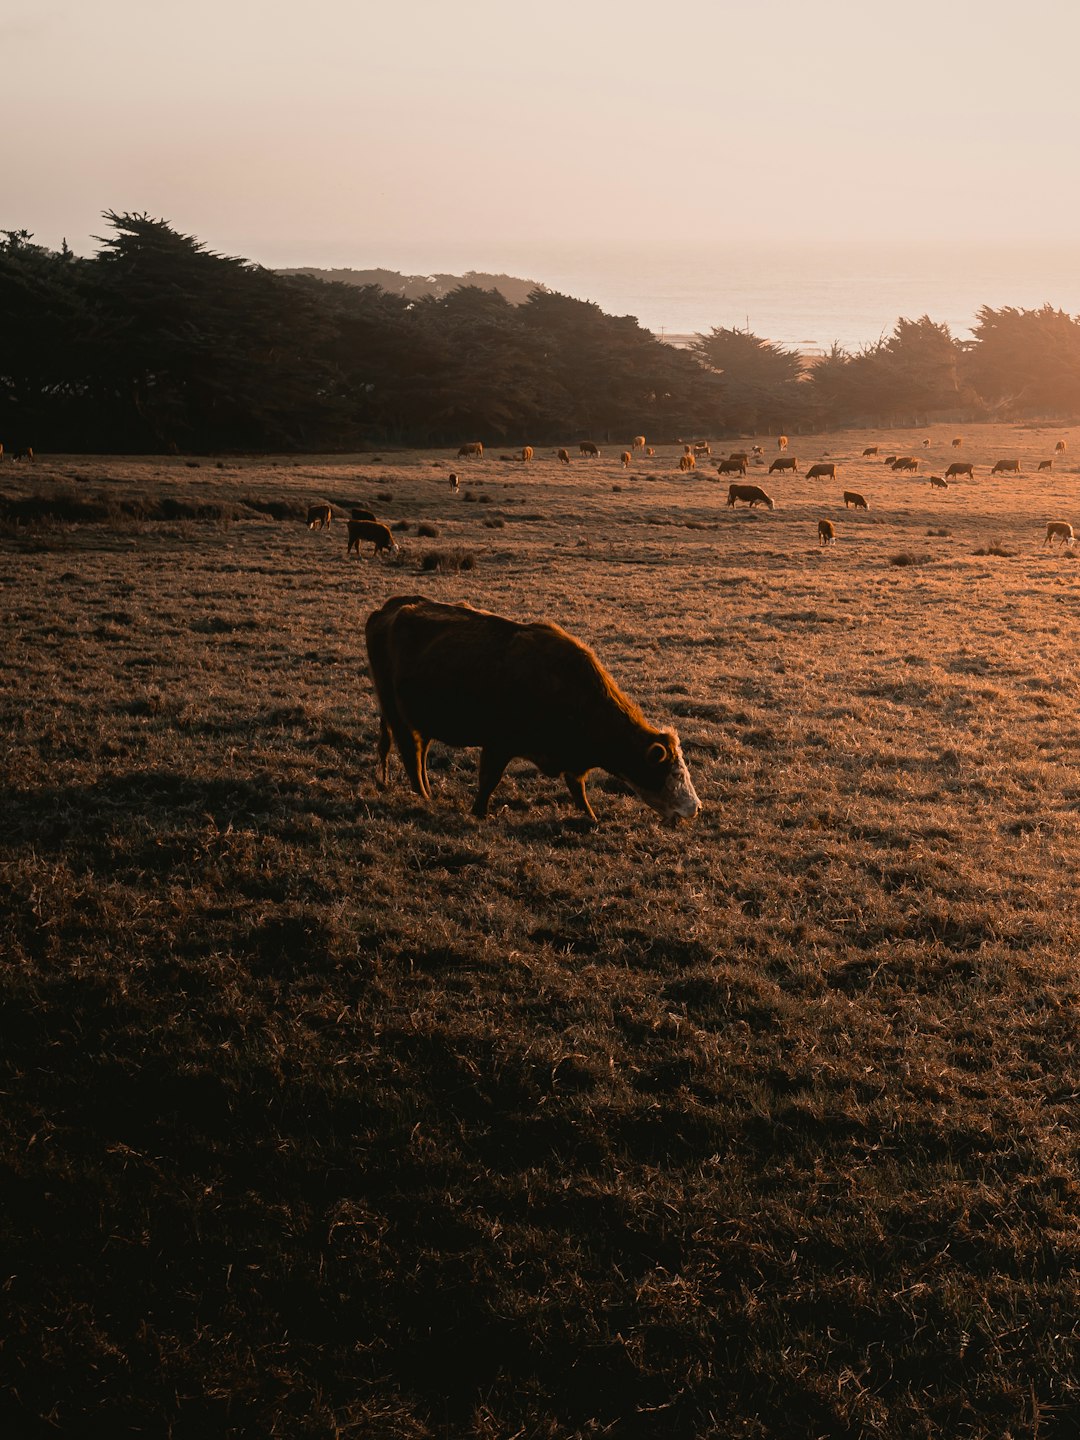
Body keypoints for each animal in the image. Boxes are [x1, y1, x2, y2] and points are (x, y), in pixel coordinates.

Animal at [364, 593, 702, 823]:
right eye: (673, 773)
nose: (696, 807)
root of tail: (388, 609)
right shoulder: (498, 743)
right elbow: (488, 780)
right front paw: (479, 812)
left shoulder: (571, 759)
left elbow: (577, 788)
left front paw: (591, 817)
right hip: (398, 716)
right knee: (412, 756)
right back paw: (424, 796)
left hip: (418, 720)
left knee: (419, 754)